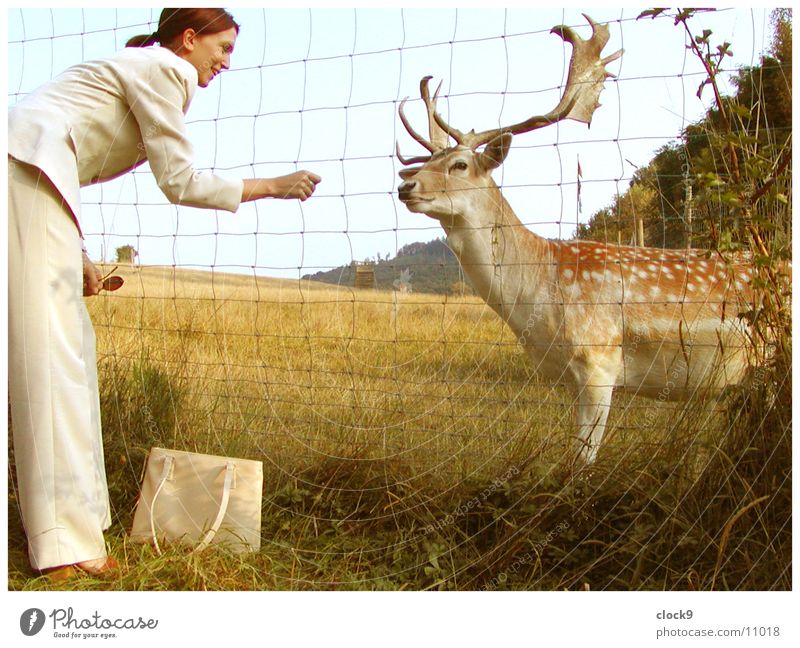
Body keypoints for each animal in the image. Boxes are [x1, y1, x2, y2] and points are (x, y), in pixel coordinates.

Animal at [396, 15, 760, 466]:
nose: (406, 186)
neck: (541, 294)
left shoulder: (599, 361)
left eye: (460, 165)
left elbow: (581, 463)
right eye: (426, 161)